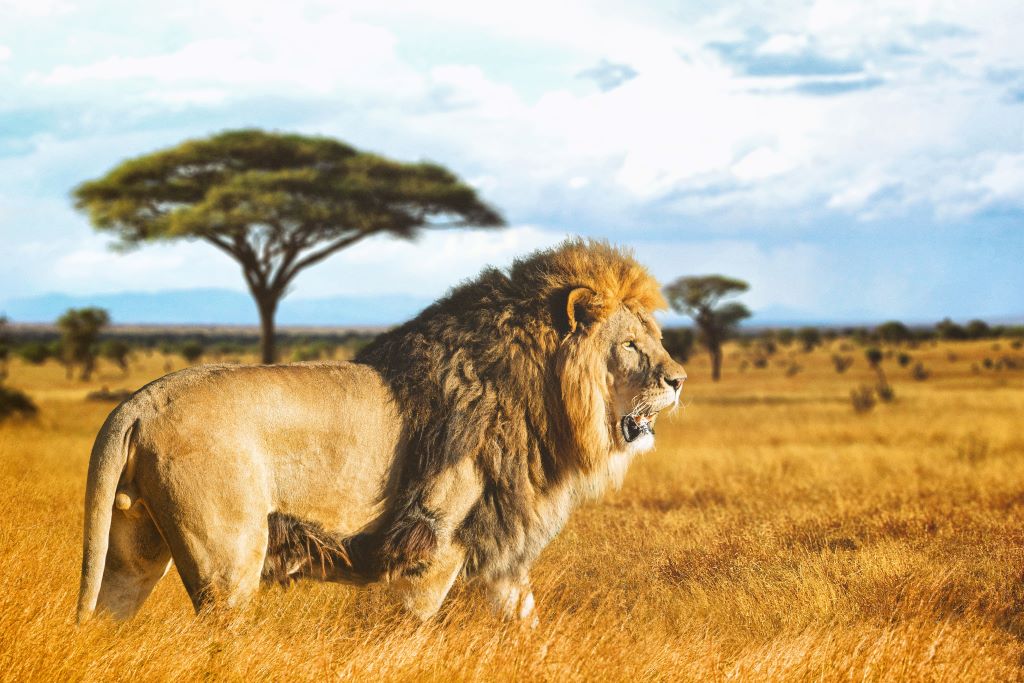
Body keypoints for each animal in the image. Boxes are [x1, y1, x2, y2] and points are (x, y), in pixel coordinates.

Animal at [77, 239, 687, 624]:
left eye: (656, 339)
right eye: (631, 345)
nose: (679, 379)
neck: (547, 404)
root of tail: (140, 400)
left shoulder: (502, 555)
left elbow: (528, 629)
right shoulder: (432, 544)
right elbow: (404, 633)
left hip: (130, 551)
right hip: (228, 562)